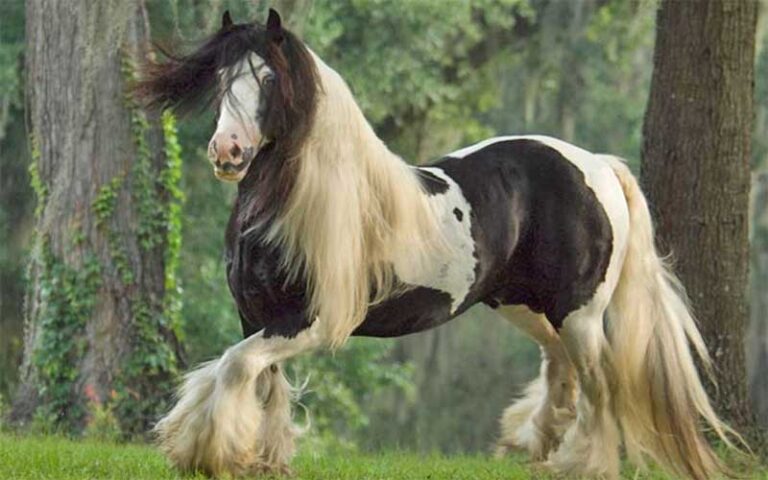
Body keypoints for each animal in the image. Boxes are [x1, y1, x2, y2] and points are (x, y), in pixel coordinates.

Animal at [136, 8, 736, 480]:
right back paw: (536, 449)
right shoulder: (256, 317)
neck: (292, 208)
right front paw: (261, 459)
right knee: (559, 367)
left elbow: (234, 369)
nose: (227, 152)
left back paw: (583, 464)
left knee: (598, 386)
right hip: (526, 306)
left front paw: (207, 453)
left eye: (267, 78)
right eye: (220, 78)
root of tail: (599, 166)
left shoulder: (309, 322)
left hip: (579, 313)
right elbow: (264, 387)